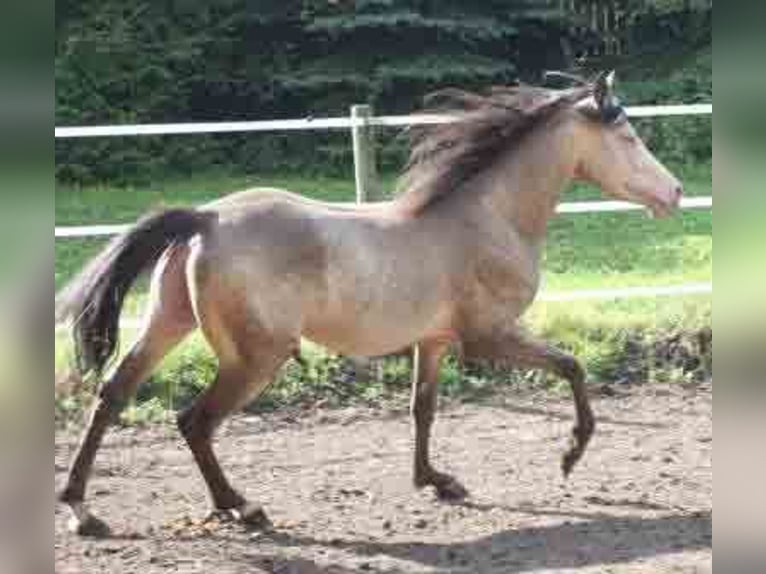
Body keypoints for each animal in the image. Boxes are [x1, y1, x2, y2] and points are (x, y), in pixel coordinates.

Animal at [57, 71, 688, 536]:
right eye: (628, 138)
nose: (676, 192)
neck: (488, 218)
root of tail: (205, 218)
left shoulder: (434, 341)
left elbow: (422, 408)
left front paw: (438, 482)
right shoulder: (489, 335)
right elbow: (572, 366)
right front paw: (570, 455)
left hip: (169, 323)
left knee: (112, 395)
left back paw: (84, 510)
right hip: (256, 357)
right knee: (194, 421)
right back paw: (242, 507)